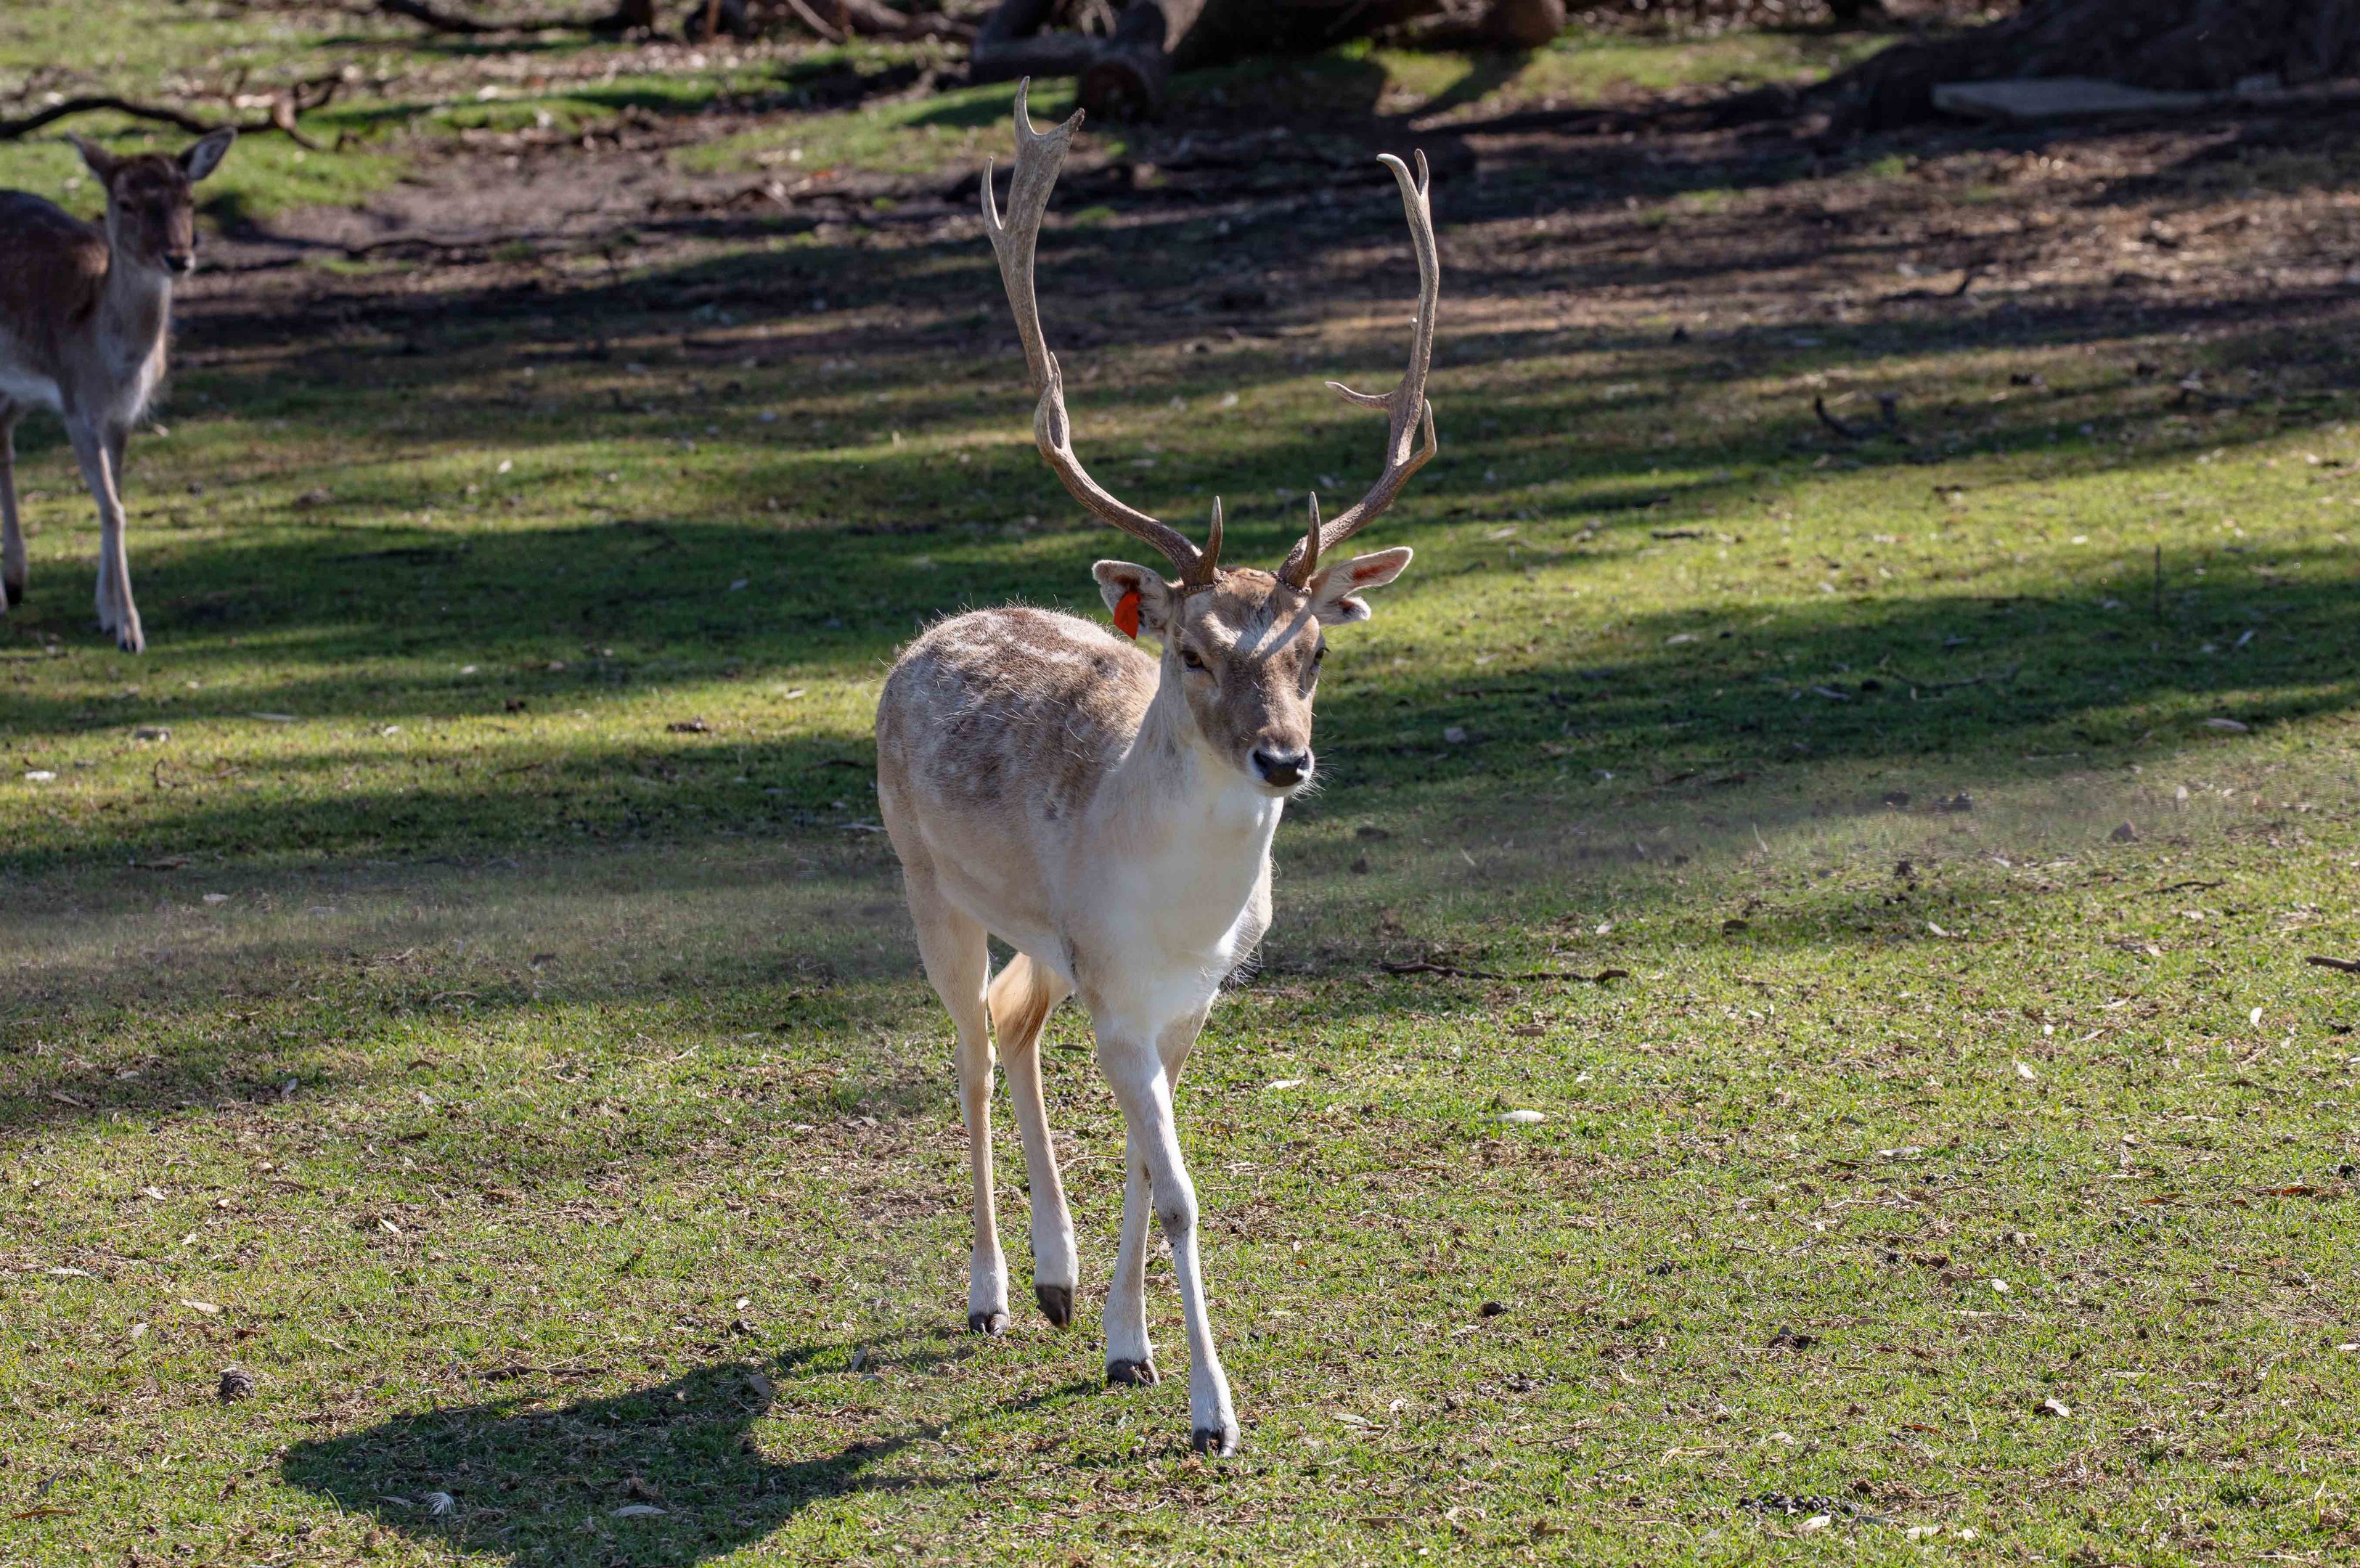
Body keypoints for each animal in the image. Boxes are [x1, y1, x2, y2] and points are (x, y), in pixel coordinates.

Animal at [0, 127, 237, 653]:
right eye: (125, 202)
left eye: (190, 199)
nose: (179, 258)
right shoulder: (77, 407)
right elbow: (112, 507)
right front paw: (130, 629)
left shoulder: (123, 416)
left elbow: (117, 495)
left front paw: (108, 613)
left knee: (1, 445)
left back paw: (15, 580)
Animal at [873, 84, 1437, 1457]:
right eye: (1188, 649)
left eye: (1313, 651)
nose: (1284, 758)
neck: (1180, 916)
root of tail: (928, 635)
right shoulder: (1120, 993)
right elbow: (1180, 1191)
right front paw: (1211, 1413)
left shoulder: (1188, 996)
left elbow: (1150, 1166)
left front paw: (1128, 1349)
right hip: (925, 880)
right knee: (966, 1048)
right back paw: (990, 1292)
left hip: (1046, 941)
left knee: (1013, 1024)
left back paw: (1059, 1280)